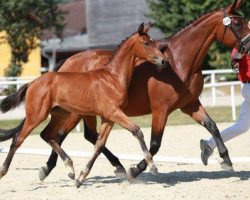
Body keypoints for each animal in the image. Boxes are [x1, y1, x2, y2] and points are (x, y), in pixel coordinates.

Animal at [0, 23, 168, 188]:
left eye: (153, 42)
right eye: (146, 43)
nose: (163, 61)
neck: (112, 78)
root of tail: (32, 83)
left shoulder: (109, 118)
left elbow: (99, 144)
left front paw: (81, 177)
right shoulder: (113, 112)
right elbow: (137, 131)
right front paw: (153, 166)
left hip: (60, 115)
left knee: (47, 135)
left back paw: (70, 168)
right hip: (37, 116)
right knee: (18, 139)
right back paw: (4, 171)